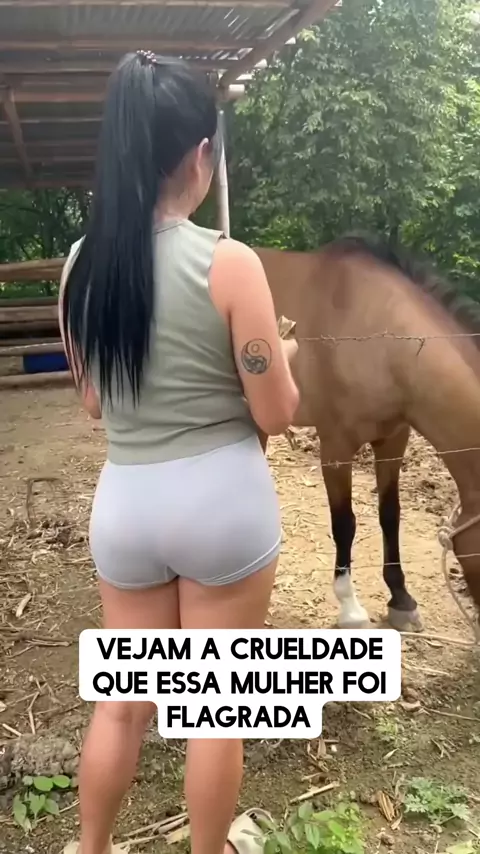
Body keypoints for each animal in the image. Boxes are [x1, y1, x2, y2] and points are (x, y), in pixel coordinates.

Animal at [255, 235, 480, 633]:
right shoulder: (336, 445)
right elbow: (344, 523)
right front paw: (350, 608)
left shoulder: (393, 439)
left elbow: (390, 515)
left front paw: (401, 600)